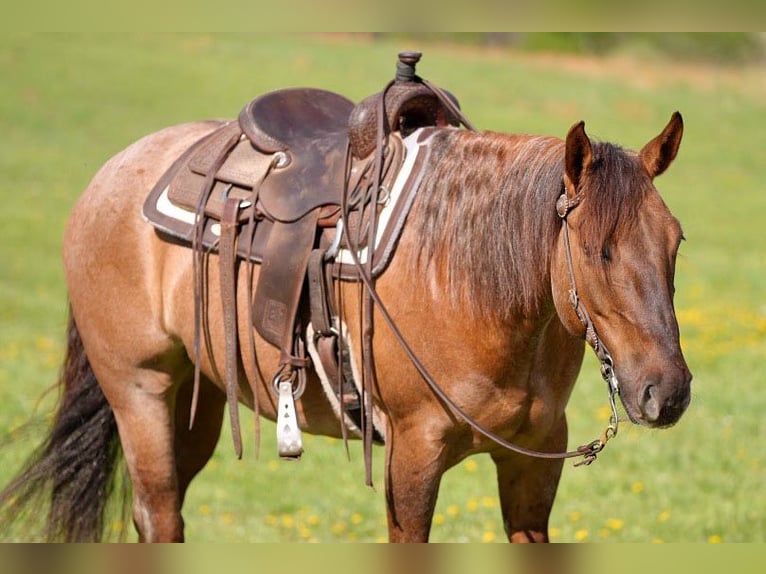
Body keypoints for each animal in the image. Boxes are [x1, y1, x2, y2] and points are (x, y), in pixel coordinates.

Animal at [0, 98, 691, 542]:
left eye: (676, 241)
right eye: (597, 251)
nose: (668, 393)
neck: (470, 282)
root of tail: (112, 172)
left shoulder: (535, 462)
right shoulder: (412, 456)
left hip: (196, 401)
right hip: (139, 391)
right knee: (161, 511)